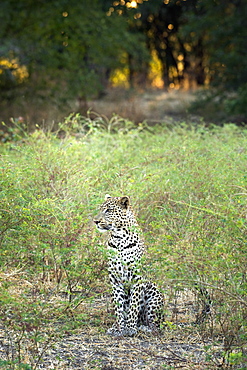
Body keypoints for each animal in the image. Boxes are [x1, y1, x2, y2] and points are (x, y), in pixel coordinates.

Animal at [93, 195, 163, 336]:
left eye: (108, 210)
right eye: (100, 209)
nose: (96, 221)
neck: (118, 238)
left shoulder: (137, 278)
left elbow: (134, 305)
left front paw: (130, 328)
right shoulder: (115, 279)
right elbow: (119, 307)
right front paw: (120, 328)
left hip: (153, 292)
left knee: (155, 325)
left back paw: (143, 328)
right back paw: (115, 326)